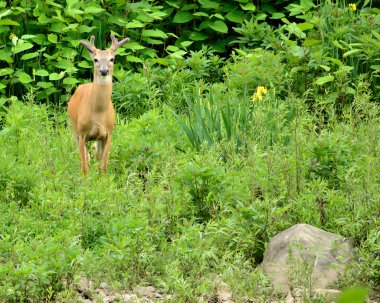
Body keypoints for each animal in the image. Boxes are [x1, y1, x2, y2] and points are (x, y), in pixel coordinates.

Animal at [70, 34, 131, 175]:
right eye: (95, 59)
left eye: (112, 59)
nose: (104, 70)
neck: (98, 113)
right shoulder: (82, 133)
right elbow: (84, 167)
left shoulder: (108, 133)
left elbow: (103, 166)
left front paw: (101, 179)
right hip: (74, 129)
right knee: (87, 157)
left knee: (96, 156)